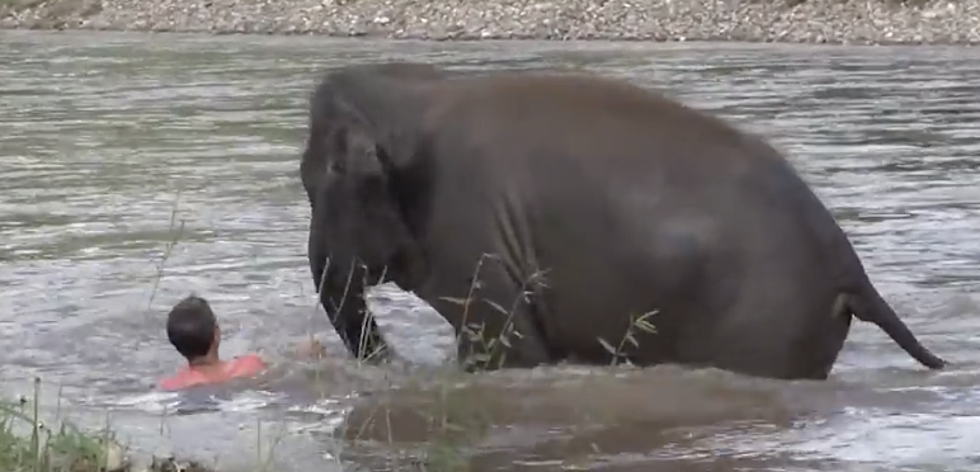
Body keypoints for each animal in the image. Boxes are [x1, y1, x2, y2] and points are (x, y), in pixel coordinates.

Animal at [300, 62, 948, 380]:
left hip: (766, 318)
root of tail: (851, 267)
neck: (410, 96)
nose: (396, 366)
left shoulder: (467, 232)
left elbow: (509, 351)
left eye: (312, 185)